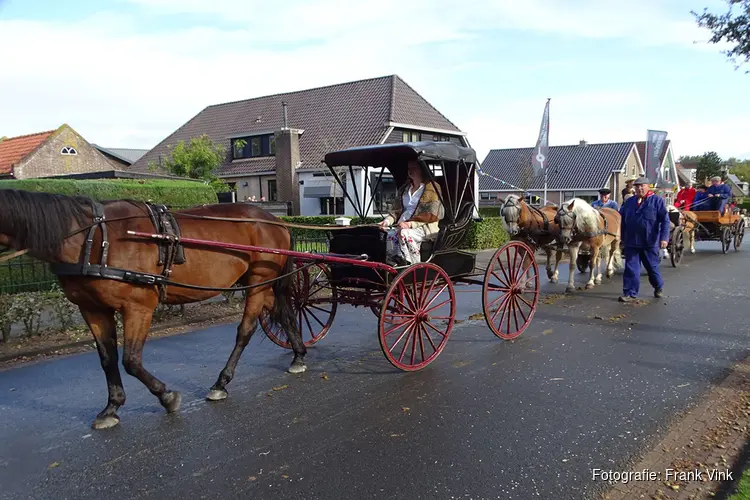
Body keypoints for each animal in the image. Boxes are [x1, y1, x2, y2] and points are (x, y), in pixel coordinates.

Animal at [0, 189, 306, 432]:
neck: (94, 239)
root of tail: (276, 221)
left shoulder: (137, 307)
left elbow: (131, 360)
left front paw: (166, 397)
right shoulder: (93, 309)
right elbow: (108, 359)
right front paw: (111, 408)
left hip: (258, 282)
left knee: (245, 330)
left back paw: (221, 383)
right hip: (259, 284)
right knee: (284, 312)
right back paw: (298, 355)